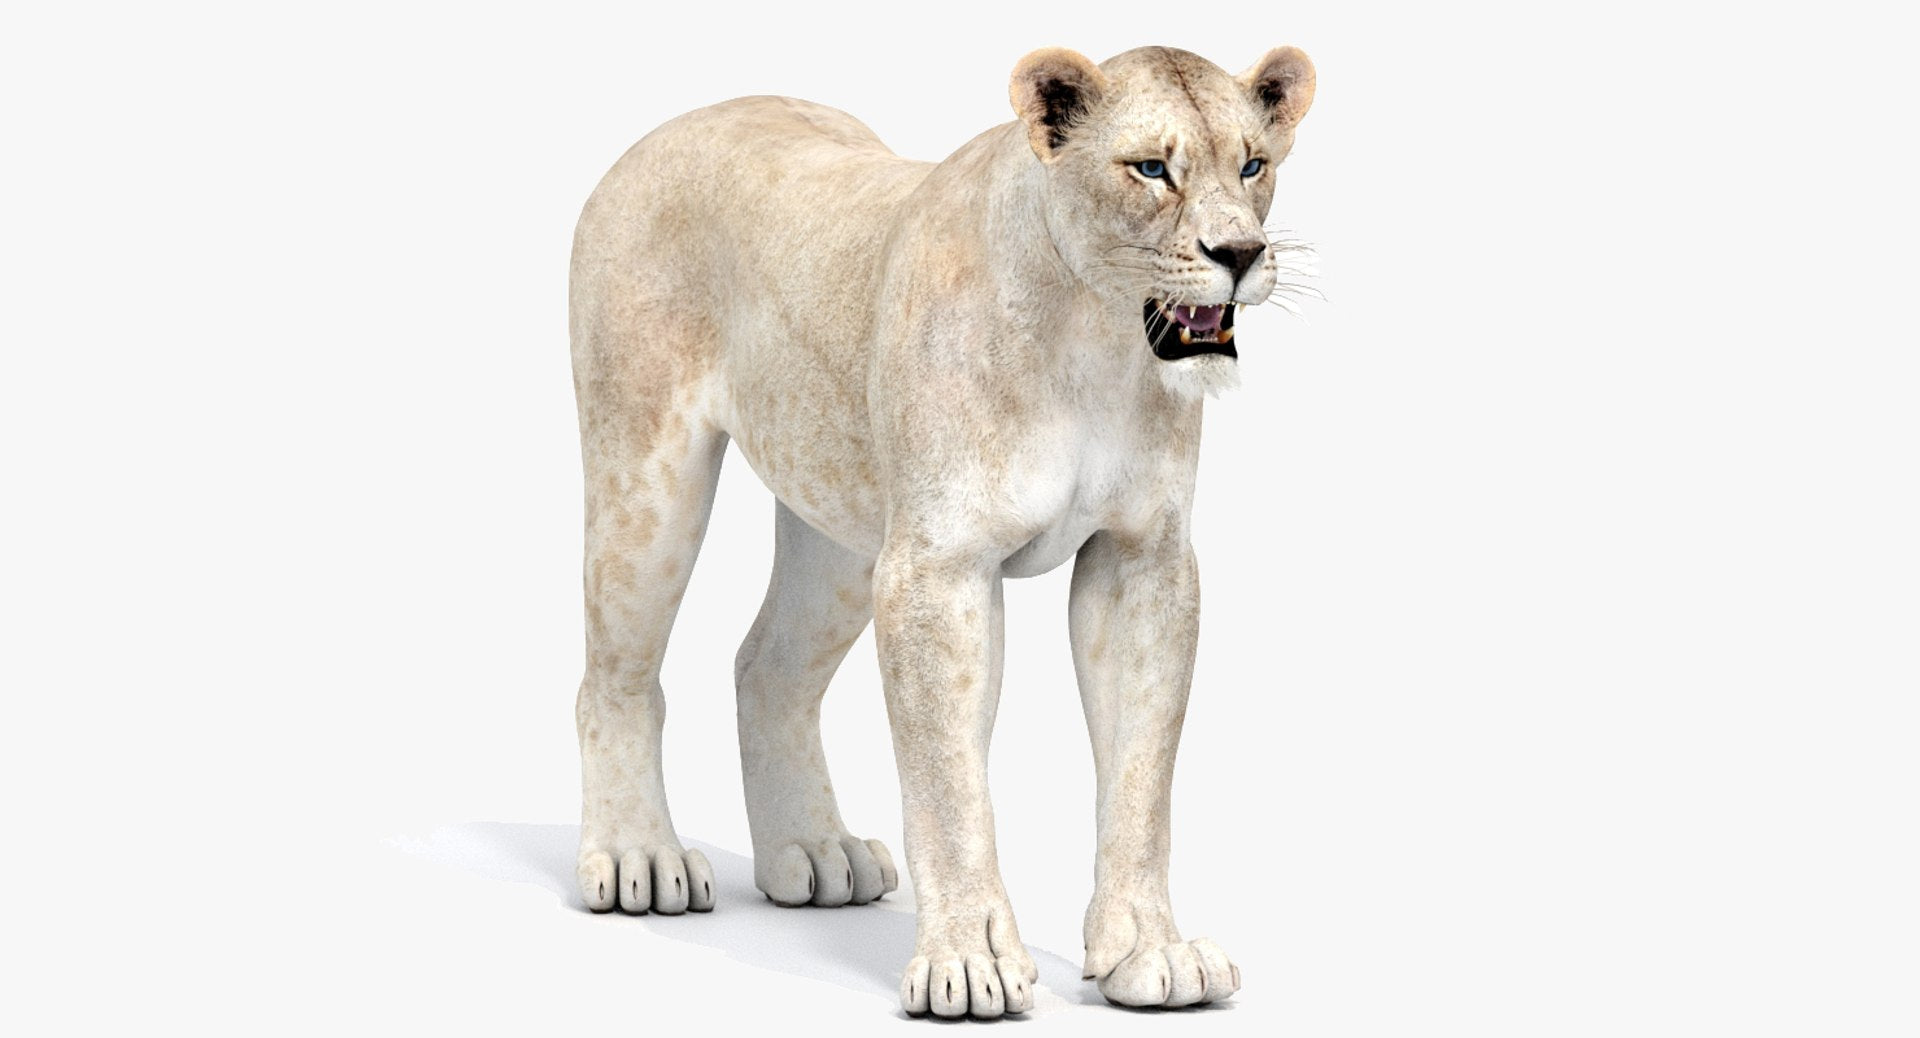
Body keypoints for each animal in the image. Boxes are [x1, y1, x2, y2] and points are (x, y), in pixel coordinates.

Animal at [567, 44, 1317, 1017]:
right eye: (1151, 168)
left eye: (1253, 164)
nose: (1240, 254)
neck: (1096, 338)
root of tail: (673, 124)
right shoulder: (936, 568)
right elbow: (948, 783)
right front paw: (967, 963)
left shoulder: (1141, 559)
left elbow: (1142, 774)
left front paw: (1152, 953)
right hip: (650, 479)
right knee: (615, 677)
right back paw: (637, 856)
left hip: (842, 527)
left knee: (765, 664)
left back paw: (815, 852)